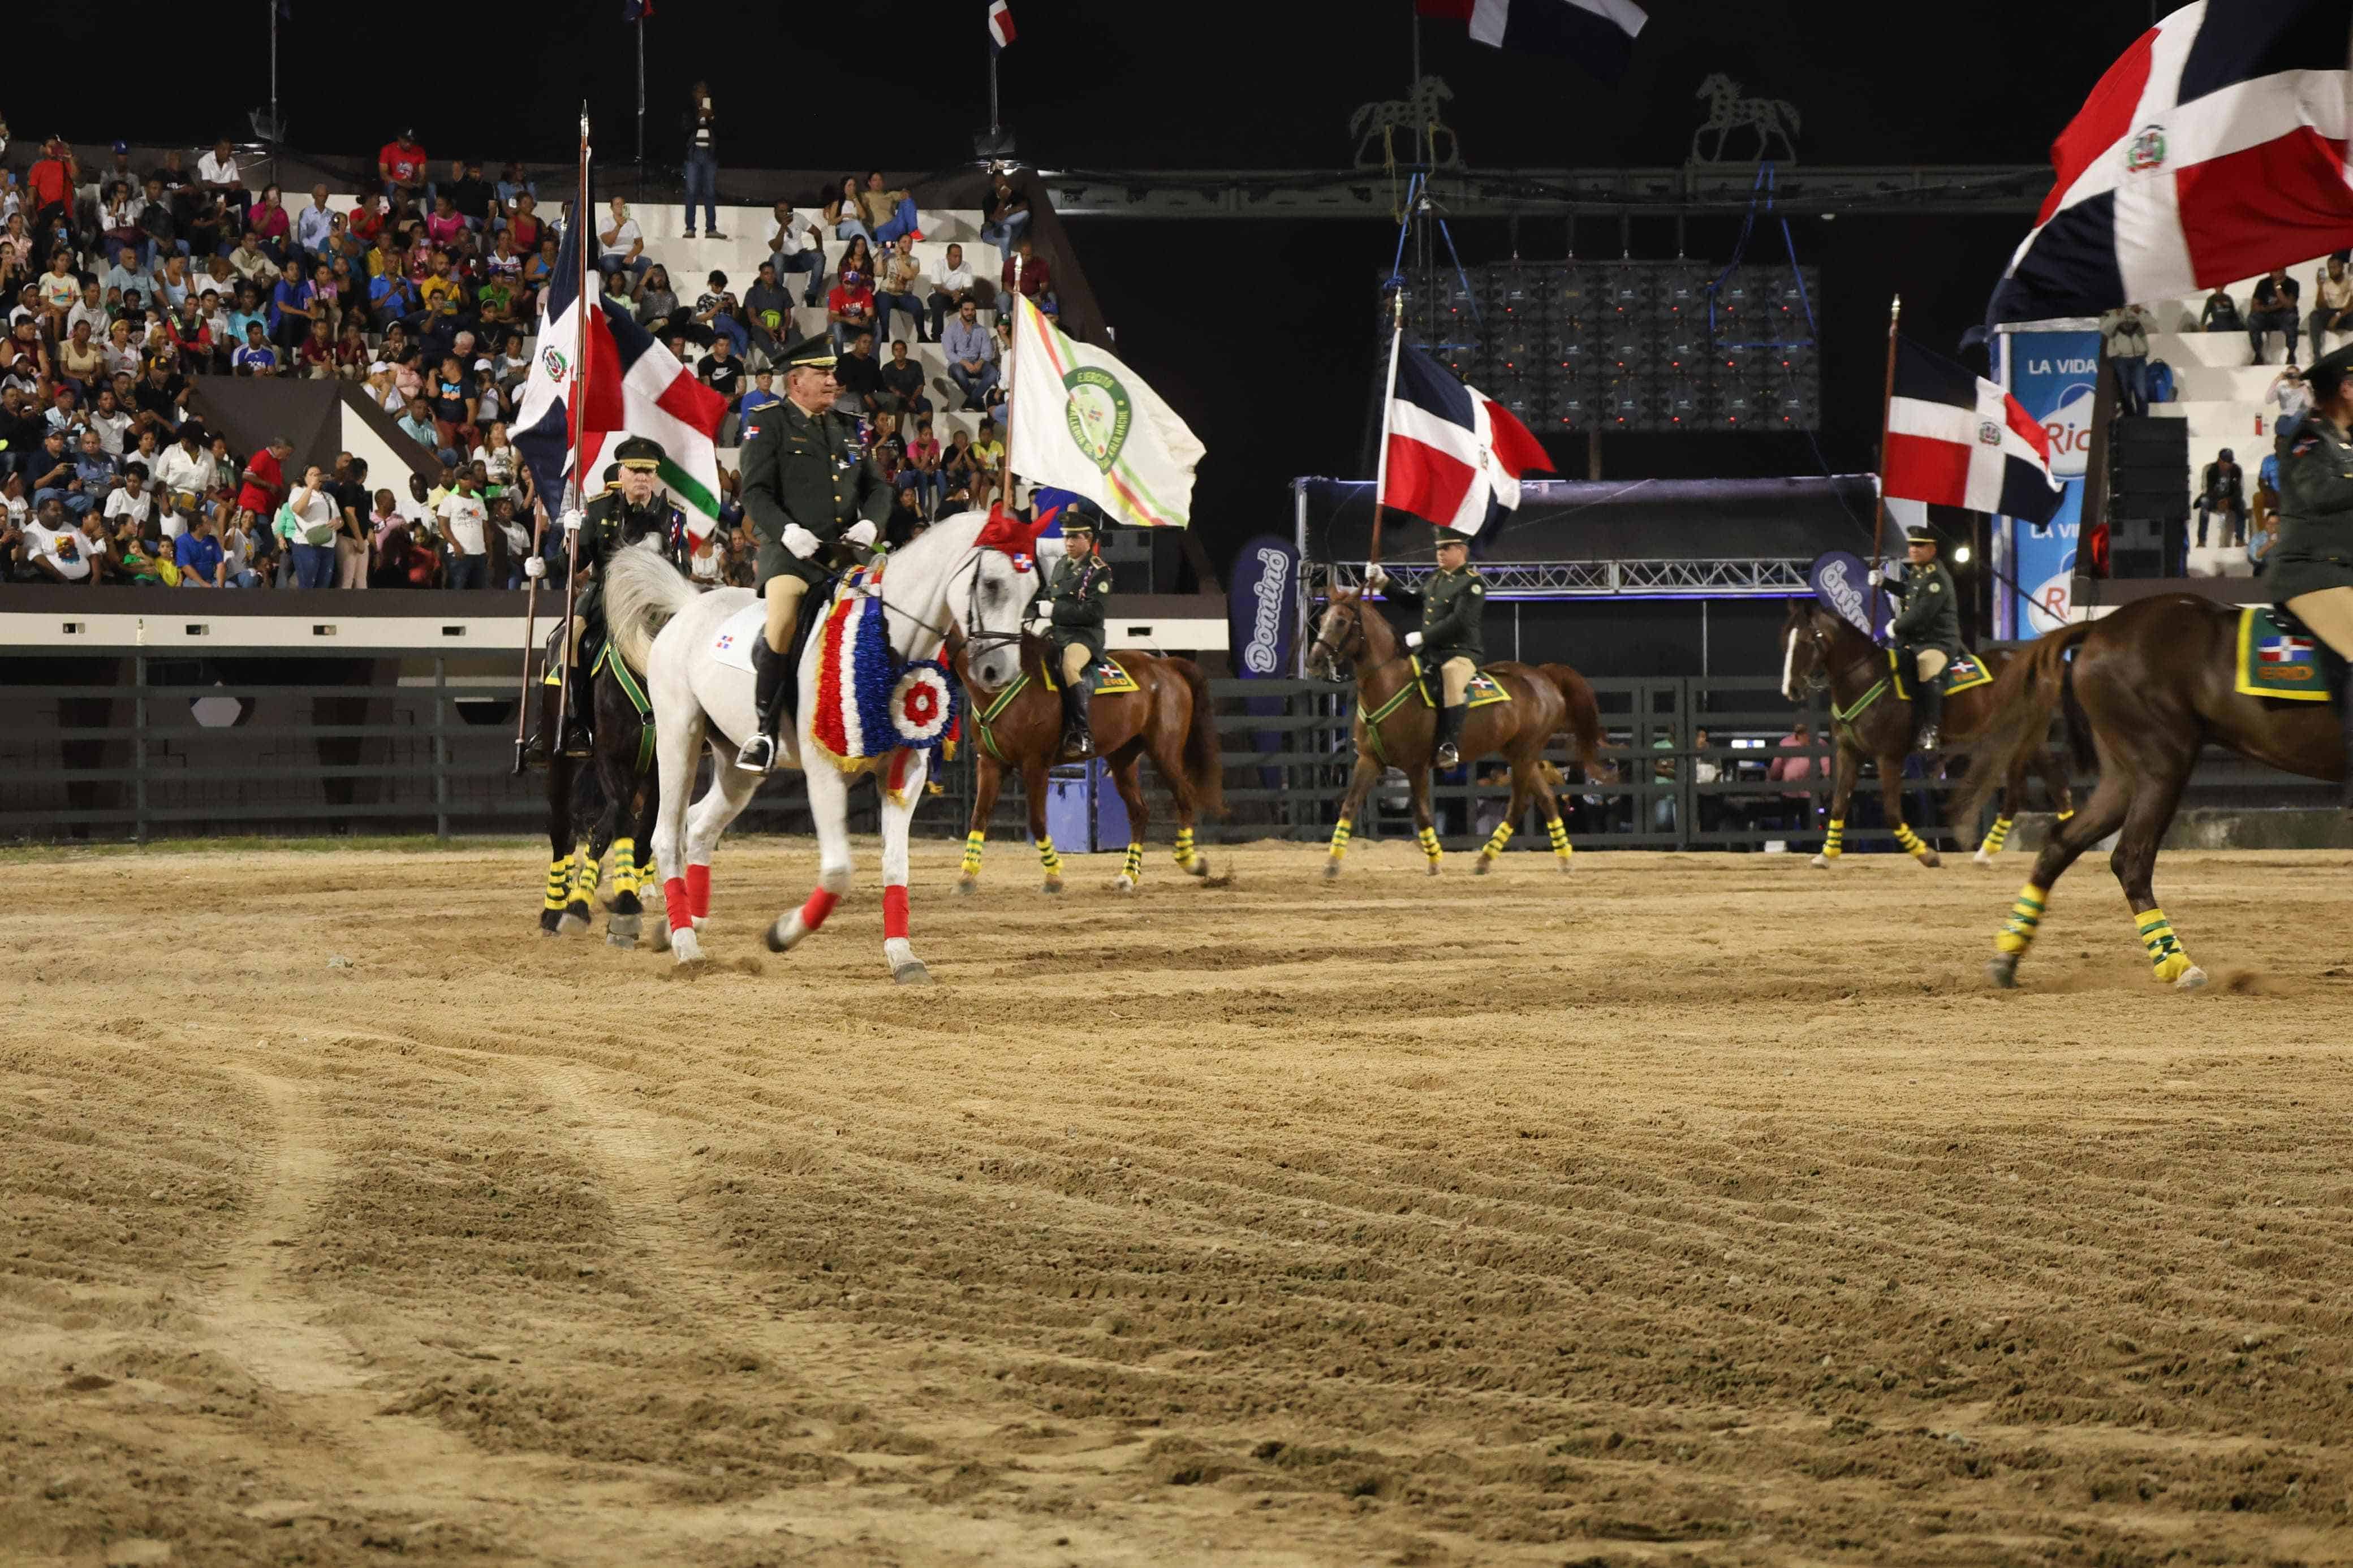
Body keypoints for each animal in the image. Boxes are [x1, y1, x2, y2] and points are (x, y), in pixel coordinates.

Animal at [607, 512, 1040, 982]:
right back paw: (687, 948)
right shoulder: (824, 772)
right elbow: (837, 872)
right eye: (992, 583)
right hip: (678, 737)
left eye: (1034, 590)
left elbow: (896, 865)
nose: (1000, 673)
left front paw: (903, 956)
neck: (887, 640)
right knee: (668, 836)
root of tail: (690, 605)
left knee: (701, 826)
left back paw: (678, 925)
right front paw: (782, 933)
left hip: (736, 765)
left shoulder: (906, 774)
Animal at [950, 634, 1232, 893]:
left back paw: (1192, 862)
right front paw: (966, 877)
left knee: (1184, 799)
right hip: (1123, 760)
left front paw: (1053, 877)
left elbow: (1038, 820)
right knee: (1139, 812)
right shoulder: (991, 764)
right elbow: (979, 816)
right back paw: (1128, 876)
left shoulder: (1036, 764)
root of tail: (1166, 664)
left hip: (1165, 753)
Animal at [1299, 588, 1609, 884]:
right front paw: (1332, 864)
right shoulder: (1369, 760)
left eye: (1341, 621)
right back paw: (1559, 860)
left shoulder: (1416, 766)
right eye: (1321, 619)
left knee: (1519, 804)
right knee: (1546, 799)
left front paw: (1435, 864)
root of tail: (1543, 676)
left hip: (1524, 754)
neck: (1391, 682)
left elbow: (1422, 813)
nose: (1314, 660)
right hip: (1521, 755)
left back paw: (1486, 859)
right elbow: (1349, 806)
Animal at [1778, 597, 2080, 870]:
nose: (1790, 689)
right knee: (2055, 786)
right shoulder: (1848, 753)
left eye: (1806, 641)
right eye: (1786, 640)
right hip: (2030, 740)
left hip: (2019, 739)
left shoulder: (1889, 757)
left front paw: (1927, 856)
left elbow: (1892, 812)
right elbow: (1840, 804)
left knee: (2023, 793)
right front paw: (1825, 856)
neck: (1866, 677)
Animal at [1958, 594, 2343, 987]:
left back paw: (2008, 956)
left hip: (2124, 778)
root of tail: (2099, 627)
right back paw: (2177, 964)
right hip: (2161, 767)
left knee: (2061, 842)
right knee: (2130, 860)